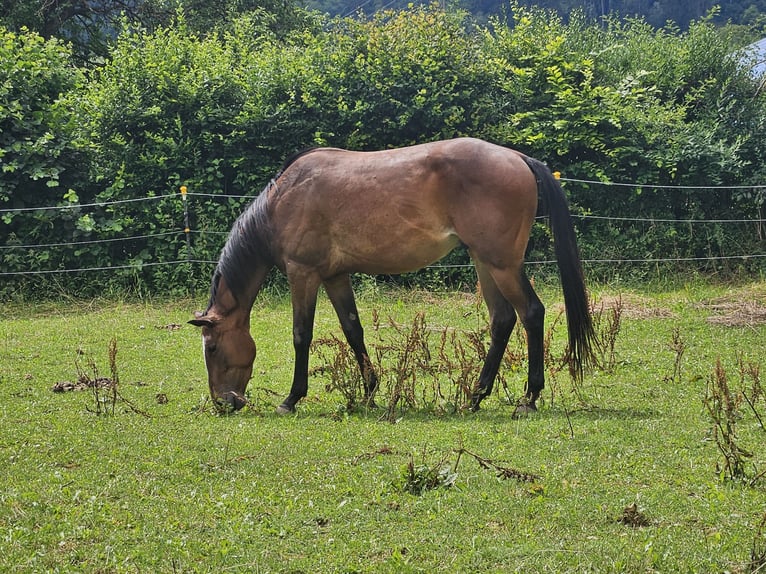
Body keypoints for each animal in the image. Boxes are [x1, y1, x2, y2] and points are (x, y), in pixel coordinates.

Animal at [189, 137, 594, 415]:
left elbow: (301, 335)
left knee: (531, 314)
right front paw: (370, 391)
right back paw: (476, 397)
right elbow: (353, 331)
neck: (282, 201)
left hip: (502, 264)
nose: (224, 402)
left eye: (212, 348)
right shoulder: (335, 276)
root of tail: (519, 158)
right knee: (502, 320)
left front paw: (291, 398)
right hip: (485, 262)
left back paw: (529, 397)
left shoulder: (302, 274)